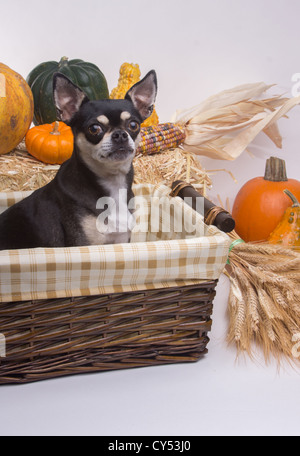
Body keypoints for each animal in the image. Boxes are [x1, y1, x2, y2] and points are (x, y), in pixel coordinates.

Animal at [0, 71, 158, 249]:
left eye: (133, 125)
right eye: (94, 128)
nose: (120, 134)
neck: (113, 183)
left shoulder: (121, 239)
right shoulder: (84, 244)